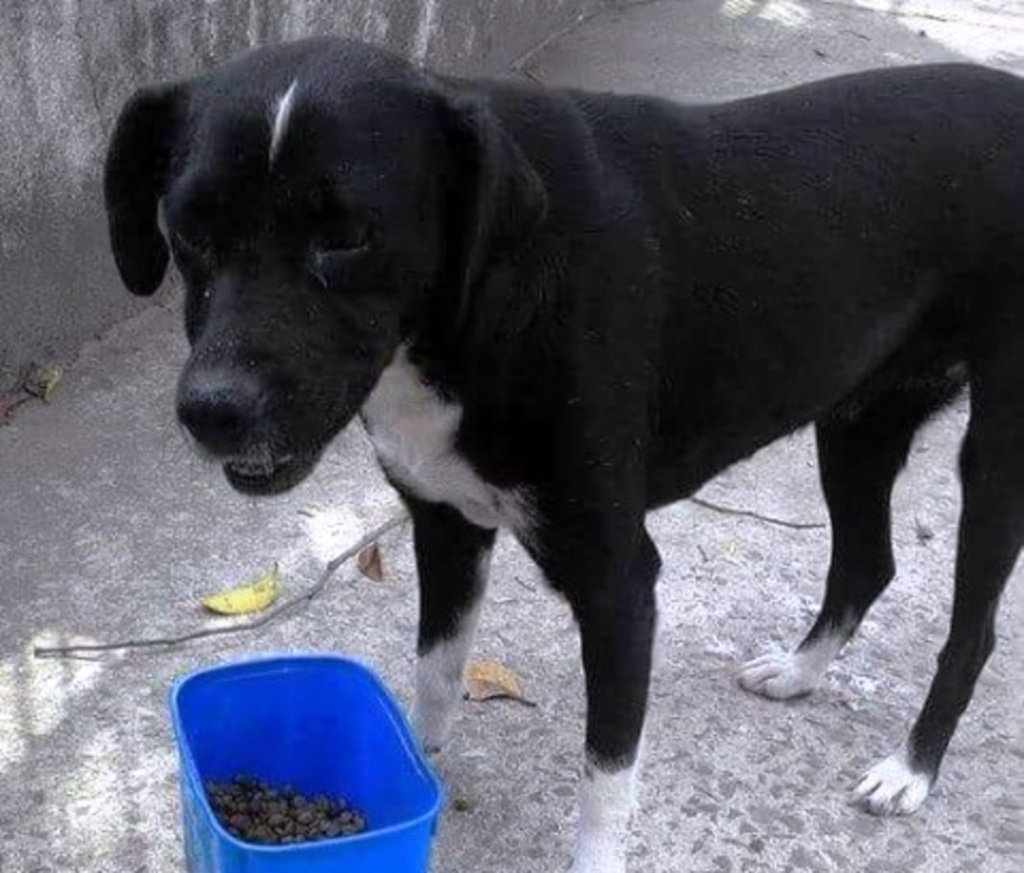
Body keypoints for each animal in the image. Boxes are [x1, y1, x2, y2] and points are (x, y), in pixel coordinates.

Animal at [105, 40, 1024, 871]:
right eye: (186, 230)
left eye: (349, 237)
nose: (211, 410)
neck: (482, 301)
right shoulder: (445, 526)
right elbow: (434, 679)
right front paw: (409, 781)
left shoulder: (618, 582)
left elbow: (605, 777)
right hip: (859, 423)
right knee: (868, 561)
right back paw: (801, 672)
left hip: (995, 460)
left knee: (971, 631)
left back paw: (911, 768)